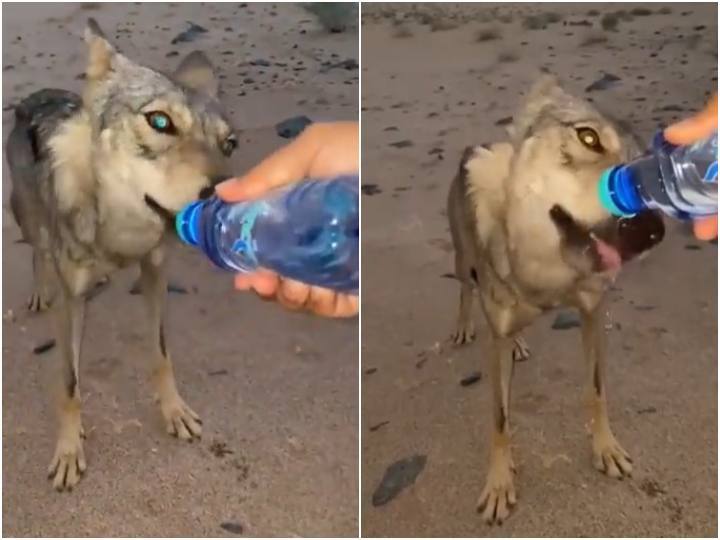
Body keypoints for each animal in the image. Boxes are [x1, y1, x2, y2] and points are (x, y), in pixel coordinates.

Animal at [5, 17, 239, 490]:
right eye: (160, 121)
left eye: (229, 144)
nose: (229, 196)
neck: (122, 232)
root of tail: (36, 96)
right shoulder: (69, 302)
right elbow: (69, 383)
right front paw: (69, 449)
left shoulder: (155, 274)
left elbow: (161, 355)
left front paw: (174, 412)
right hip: (26, 218)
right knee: (38, 253)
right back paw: (41, 289)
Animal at [448, 76, 668, 524]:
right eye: (588, 137)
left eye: (645, 169)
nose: (653, 231)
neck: (548, 271)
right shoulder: (495, 337)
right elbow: (500, 419)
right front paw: (500, 483)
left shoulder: (593, 313)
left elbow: (597, 390)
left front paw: (606, 449)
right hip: (463, 260)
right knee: (465, 288)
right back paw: (465, 325)